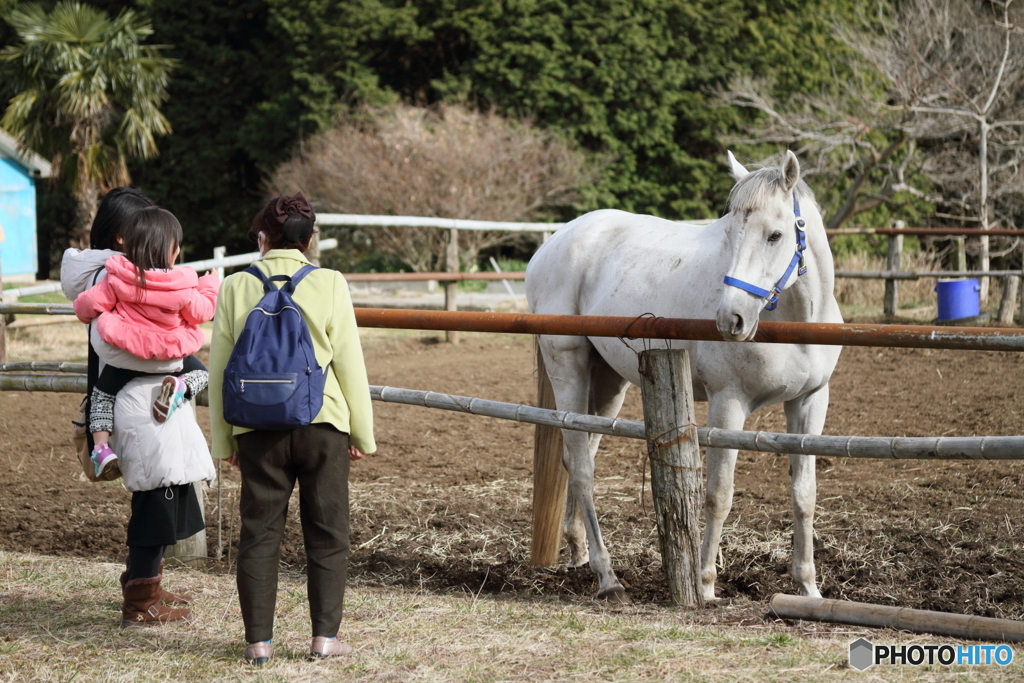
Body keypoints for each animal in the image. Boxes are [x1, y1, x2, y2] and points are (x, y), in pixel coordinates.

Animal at [528, 152, 839, 602]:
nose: (731, 319)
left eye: (775, 235)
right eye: (729, 232)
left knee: (579, 455)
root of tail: (553, 242)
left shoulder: (810, 402)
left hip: (608, 384)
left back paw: (579, 551)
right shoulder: (729, 405)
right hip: (568, 367)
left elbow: (804, 495)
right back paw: (608, 577)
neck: (796, 324)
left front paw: (808, 586)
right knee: (583, 467)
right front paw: (705, 583)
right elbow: (718, 495)